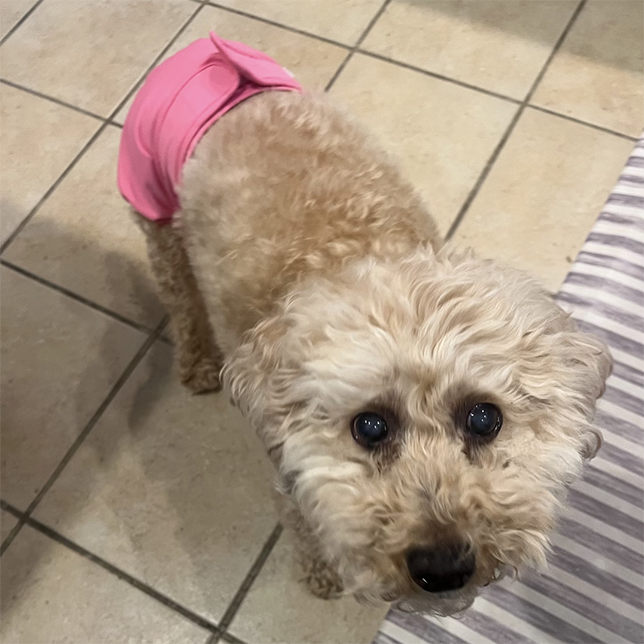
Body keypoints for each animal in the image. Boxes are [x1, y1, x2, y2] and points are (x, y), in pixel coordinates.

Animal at [119, 34, 611, 616]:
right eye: (369, 426)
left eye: (485, 418)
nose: (443, 567)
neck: (358, 252)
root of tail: (200, 49)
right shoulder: (292, 476)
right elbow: (306, 526)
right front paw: (322, 575)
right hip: (154, 211)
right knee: (179, 295)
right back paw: (196, 361)